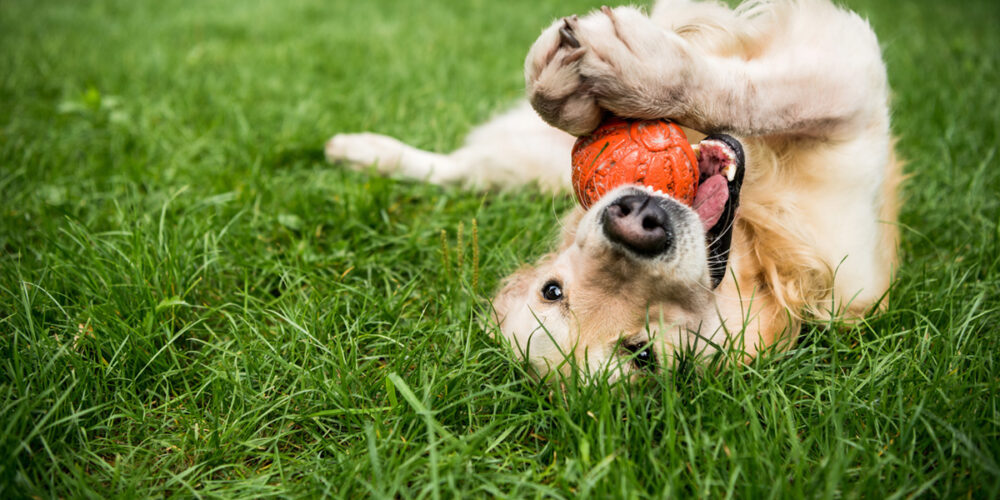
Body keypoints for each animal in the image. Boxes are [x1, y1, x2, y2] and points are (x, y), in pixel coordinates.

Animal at [326, 0, 900, 380]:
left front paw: (626, 71)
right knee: (463, 168)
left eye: (551, 290)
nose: (636, 222)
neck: (756, 247)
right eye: (641, 353)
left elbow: (753, 91)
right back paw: (362, 151)